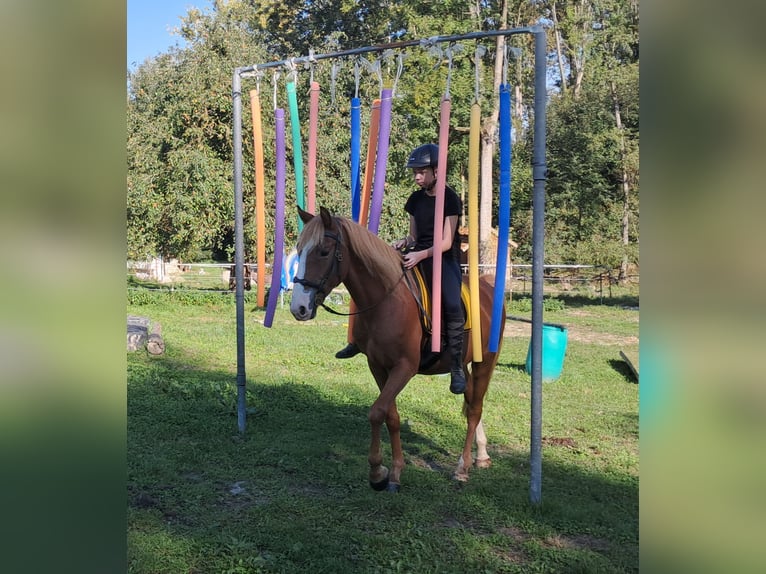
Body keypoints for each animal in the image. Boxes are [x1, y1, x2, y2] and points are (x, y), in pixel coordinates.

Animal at [292, 209, 508, 492]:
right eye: (299, 250)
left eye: (324, 252)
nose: (298, 308)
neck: (387, 300)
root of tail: (488, 288)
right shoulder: (378, 366)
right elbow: (390, 415)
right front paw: (393, 471)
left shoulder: (404, 367)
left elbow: (376, 412)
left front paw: (376, 472)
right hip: (463, 365)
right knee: (471, 396)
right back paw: (481, 454)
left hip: (487, 361)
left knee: (475, 409)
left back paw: (463, 466)